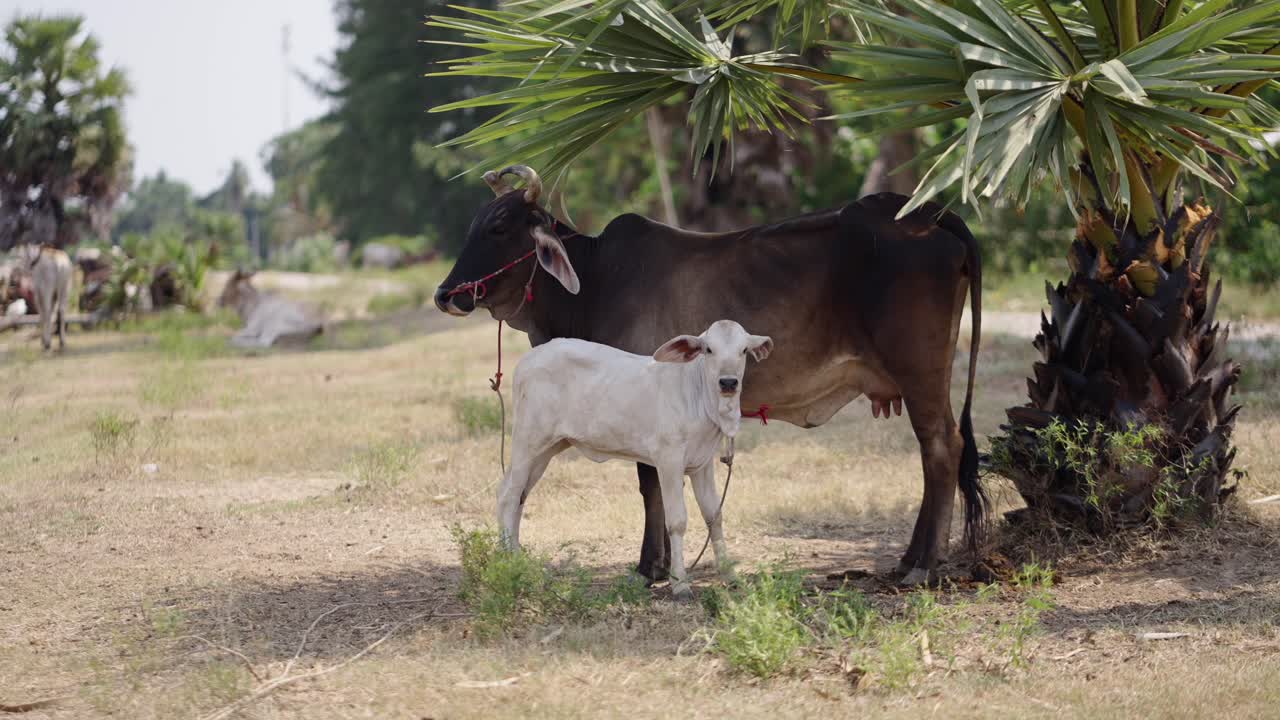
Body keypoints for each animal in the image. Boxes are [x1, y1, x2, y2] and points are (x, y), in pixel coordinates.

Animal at [501, 320, 773, 600]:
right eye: (708, 349)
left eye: (743, 350)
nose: (728, 382)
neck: (698, 396)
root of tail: (529, 359)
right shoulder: (669, 460)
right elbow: (677, 520)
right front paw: (680, 583)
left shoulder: (702, 464)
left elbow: (714, 516)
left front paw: (730, 576)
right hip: (527, 441)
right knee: (510, 497)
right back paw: (512, 563)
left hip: (547, 449)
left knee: (516, 495)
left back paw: (515, 558)